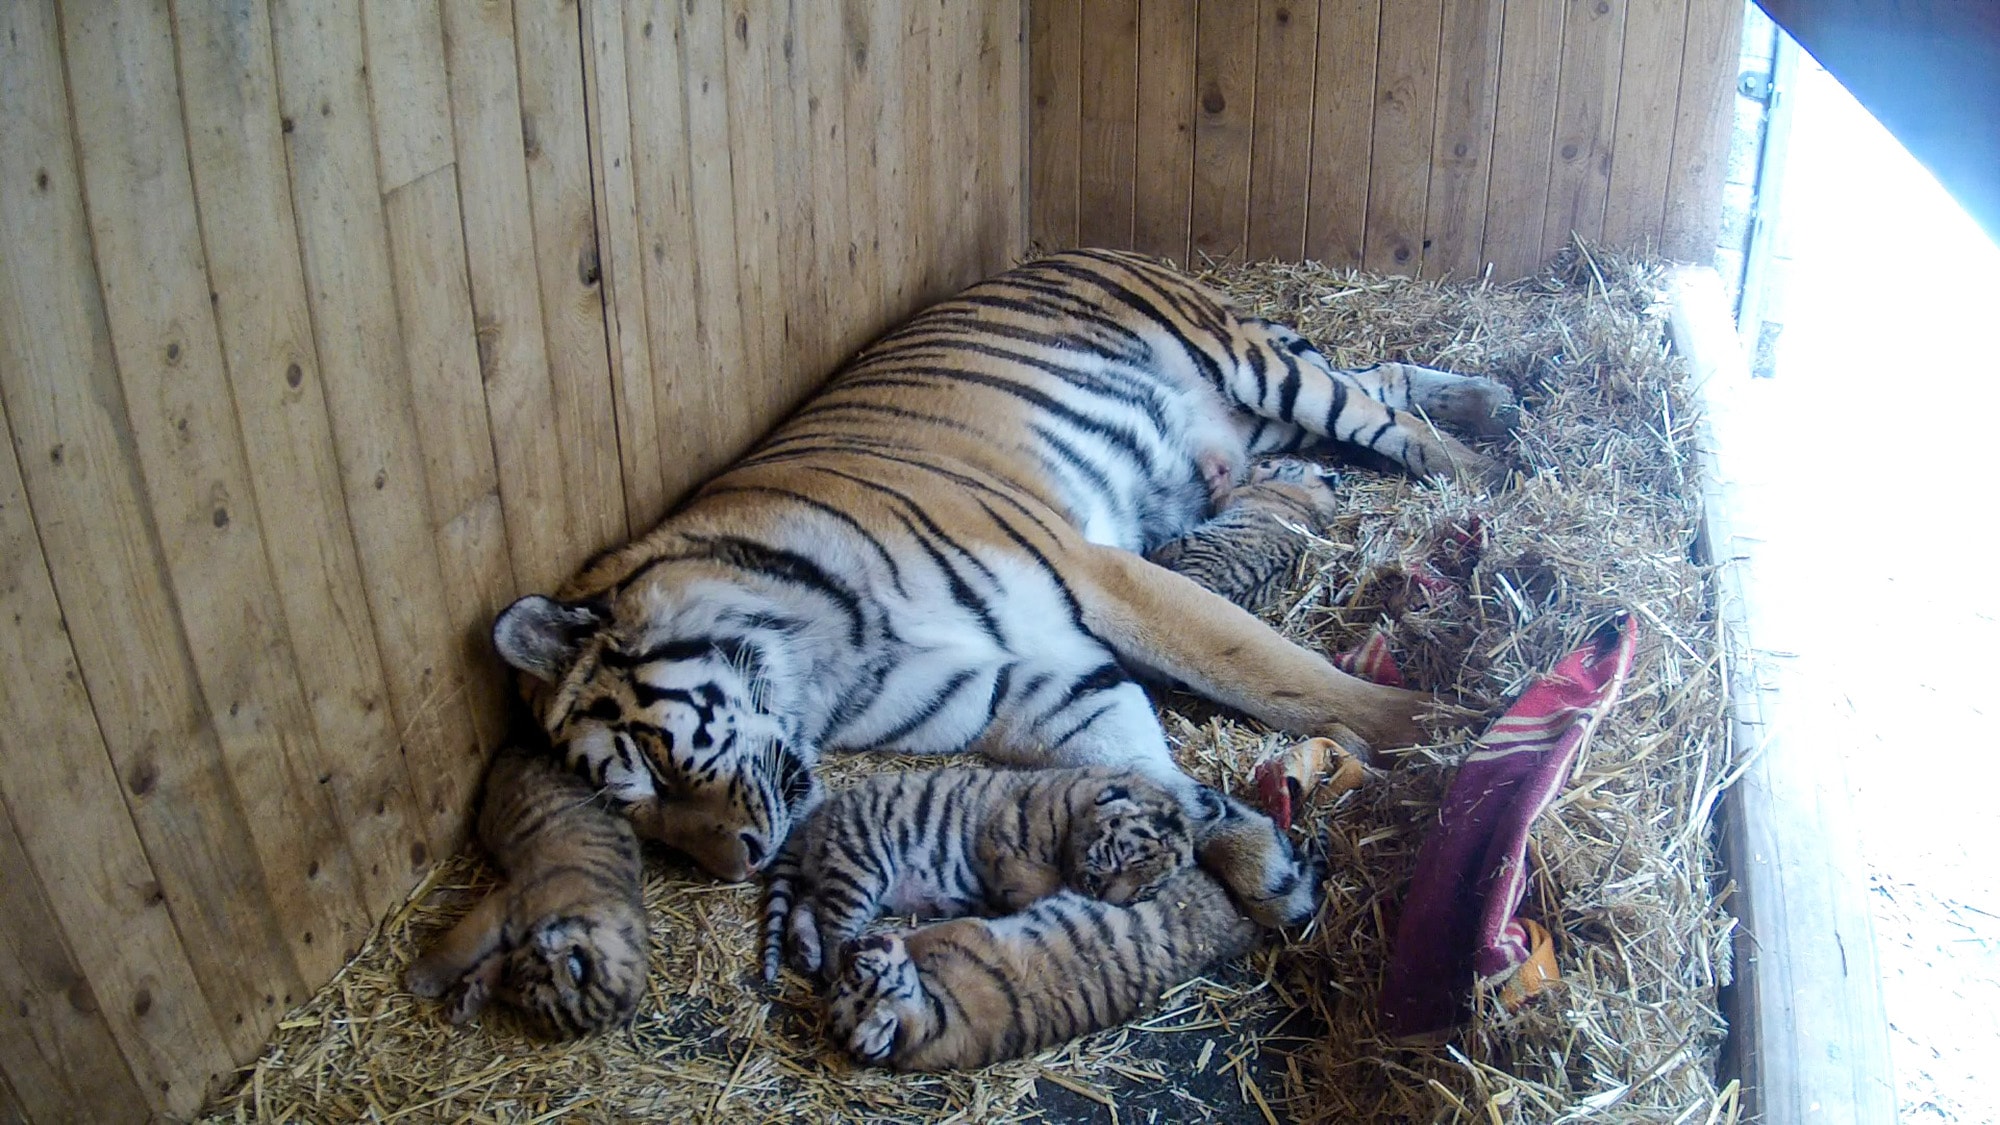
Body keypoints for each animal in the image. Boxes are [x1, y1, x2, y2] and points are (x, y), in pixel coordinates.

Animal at [404, 745, 648, 1037]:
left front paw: (466, 999)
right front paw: (422, 978)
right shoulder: (504, 908)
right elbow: (460, 947)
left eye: (520, 993)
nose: (508, 970)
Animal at [761, 766, 1195, 983]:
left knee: (807, 905)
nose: (1108, 900)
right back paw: (832, 968)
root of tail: (815, 818)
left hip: (843, 875)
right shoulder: (1006, 843)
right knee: (833, 926)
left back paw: (805, 950)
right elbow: (1038, 886)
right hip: (860, 864)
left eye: (1145, 889)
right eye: (1120, 857)